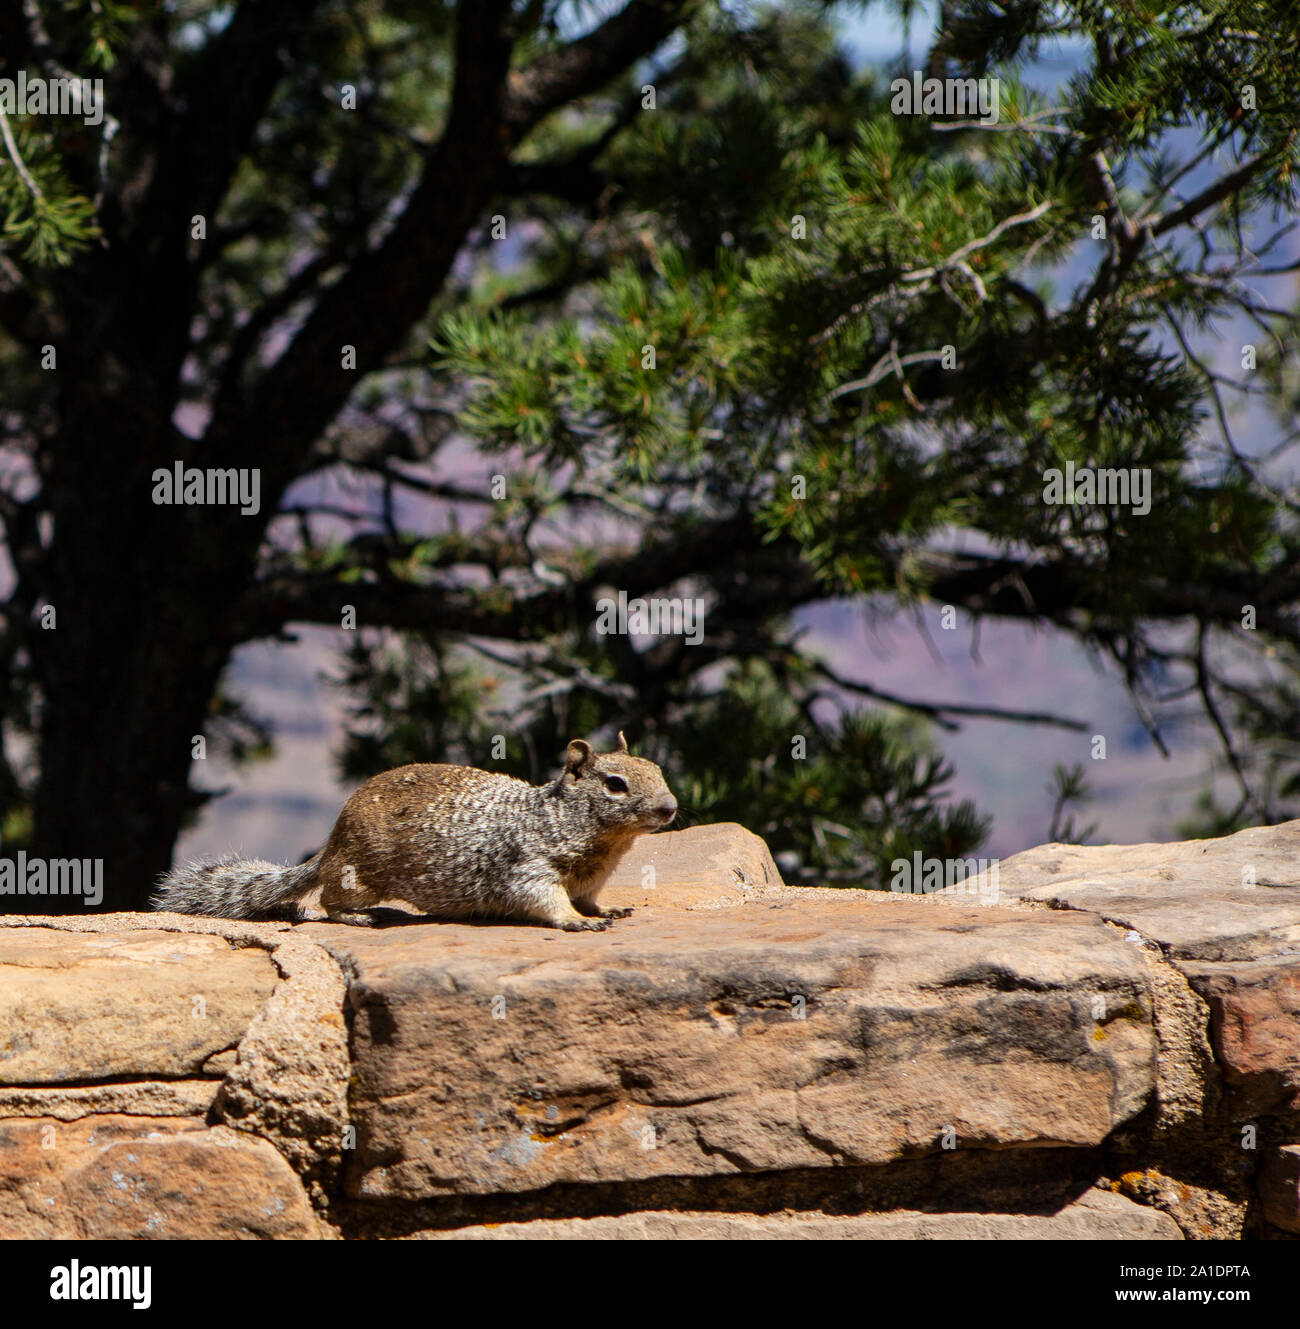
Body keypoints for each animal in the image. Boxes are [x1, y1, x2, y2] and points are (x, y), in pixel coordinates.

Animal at [152, 733, 677, 930]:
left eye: (656, 768)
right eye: (615, 784)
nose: (670, 808)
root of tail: (330, 844)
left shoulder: (591, 877)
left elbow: (590, 897)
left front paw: (606, 910)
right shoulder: (528, 865)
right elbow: (544, 900)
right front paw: (575, 920)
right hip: (359, 875)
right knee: (327, 900)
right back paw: (360, 916)